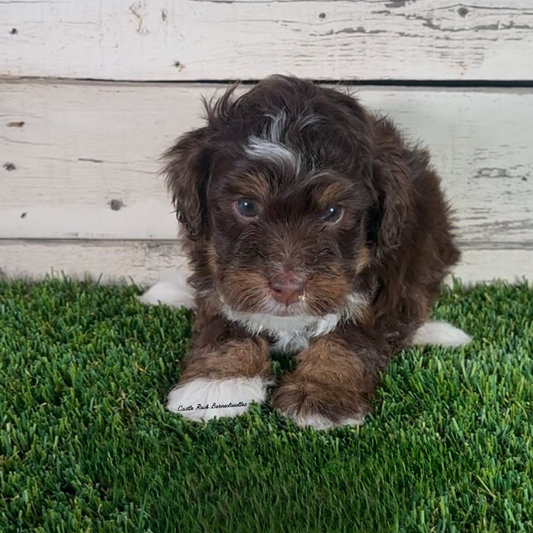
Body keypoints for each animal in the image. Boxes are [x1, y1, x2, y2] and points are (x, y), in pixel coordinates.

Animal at [144, 75, 470, 428]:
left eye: (333, 212)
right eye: (246, 206)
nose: (288, 289)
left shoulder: (391, 285)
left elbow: (350, 338)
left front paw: (320, 395)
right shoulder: (221, 270)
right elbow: (224, 320)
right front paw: (217, 383)